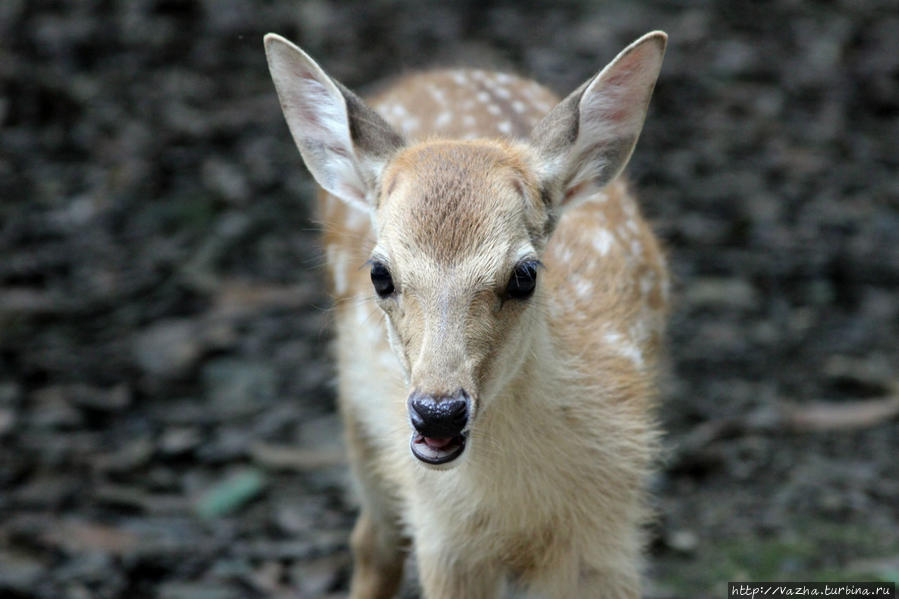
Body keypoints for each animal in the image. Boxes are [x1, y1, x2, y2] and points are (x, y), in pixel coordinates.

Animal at [264, 29, 672, 599]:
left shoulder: (607, 539)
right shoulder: (444, 541)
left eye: (525, 274)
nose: (438, 411)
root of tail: (436, 70)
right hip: (356, 412)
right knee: (373, 542)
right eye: (380, 274)